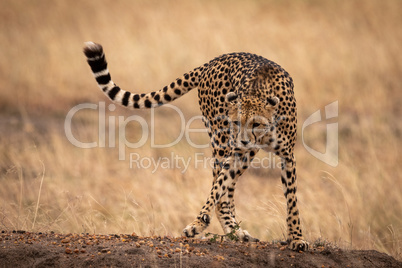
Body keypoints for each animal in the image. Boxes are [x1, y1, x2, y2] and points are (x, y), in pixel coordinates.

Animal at [81, 42, 308, 251]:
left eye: (256, 124)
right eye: (236, 122)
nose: (242, 140)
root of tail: (214, 60)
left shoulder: (287, 156)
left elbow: (292, 201)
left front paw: (297, 238)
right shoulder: (236, 152)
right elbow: (217, 187)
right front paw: (197, 223)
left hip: (241, 152)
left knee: (228, 188)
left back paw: (236, 231)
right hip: (222, 142)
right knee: (222, 190)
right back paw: (233, 230)